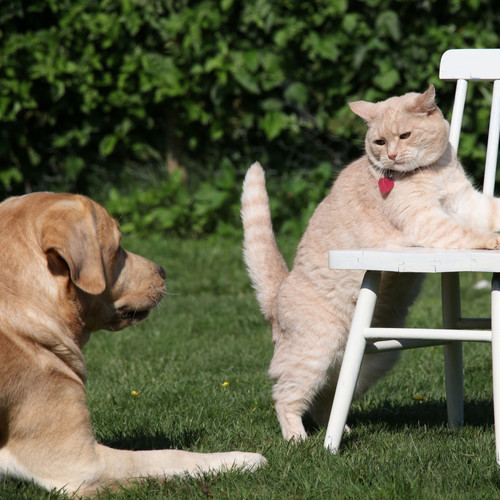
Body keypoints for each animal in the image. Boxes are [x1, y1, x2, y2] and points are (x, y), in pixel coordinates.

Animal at [0, 192, 266, 496]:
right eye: (118, 247)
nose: (163, 270)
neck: (24, 299)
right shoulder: (80, 464)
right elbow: (168, 455)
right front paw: (243, 458)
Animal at [240, 86, 500, 442]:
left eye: (404, 135)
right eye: (379, 142)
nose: (391, 156)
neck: (435, 172)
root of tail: (277, 294)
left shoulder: (466, 202)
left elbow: (492, 212)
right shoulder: (427, 222)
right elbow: (467, 233)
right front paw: (495, 240)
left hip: (376, 357)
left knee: (328, 398)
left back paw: (342, 430)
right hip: (317, 352)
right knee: (286, 396)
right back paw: (299, 439)